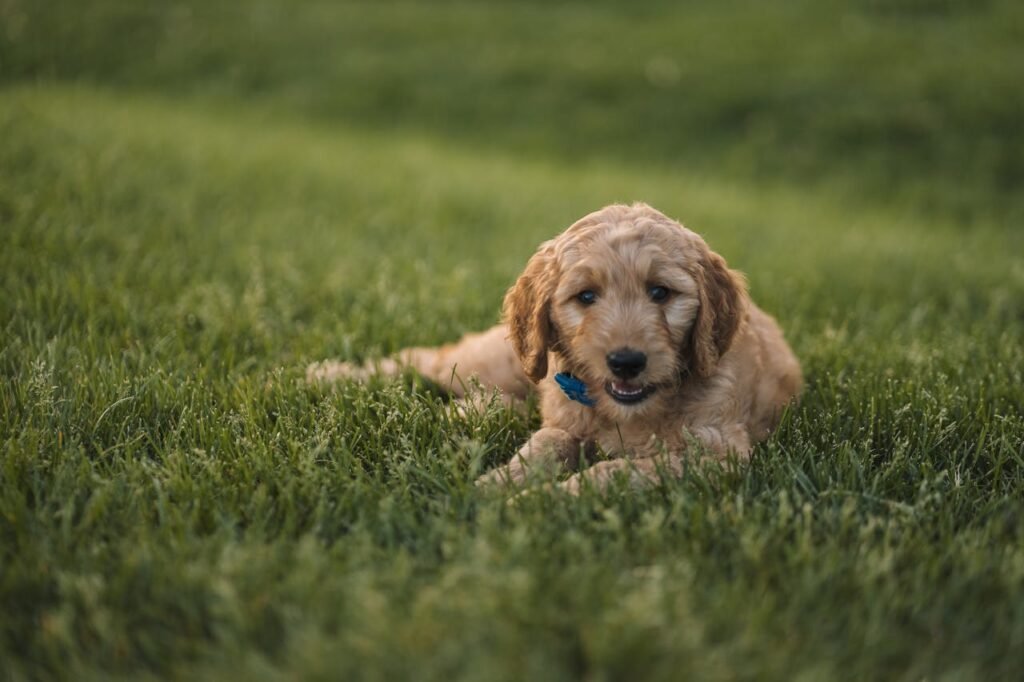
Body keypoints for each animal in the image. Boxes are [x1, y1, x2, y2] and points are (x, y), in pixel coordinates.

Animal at [307, 200, 802, 489]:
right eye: (586, 297)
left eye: (661, 293)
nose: (626, 362)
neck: (625, 412)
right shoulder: (565, 423)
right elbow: (540, 449)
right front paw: (499, 487)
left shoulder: (714, 453)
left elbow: (612, 472)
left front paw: (543, 499)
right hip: (503, 357)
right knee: (425, 358)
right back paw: (322, 375)